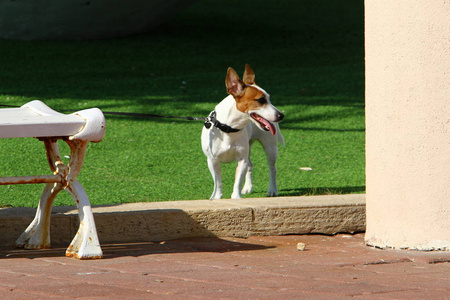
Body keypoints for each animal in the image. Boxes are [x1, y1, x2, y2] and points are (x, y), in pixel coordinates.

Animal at [201, 64, 284, 199]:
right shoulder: (212, 161)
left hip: (270, 147)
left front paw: (236, 197)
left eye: (269, 99)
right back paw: (248, 187)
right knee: (251, 165)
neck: (229, 129)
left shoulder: (241, 160)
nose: (281, 115)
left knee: (272, 169)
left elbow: (237, 181)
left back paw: (272, 190)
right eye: (261, 100)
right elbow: (217, 182)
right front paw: (217, 197)